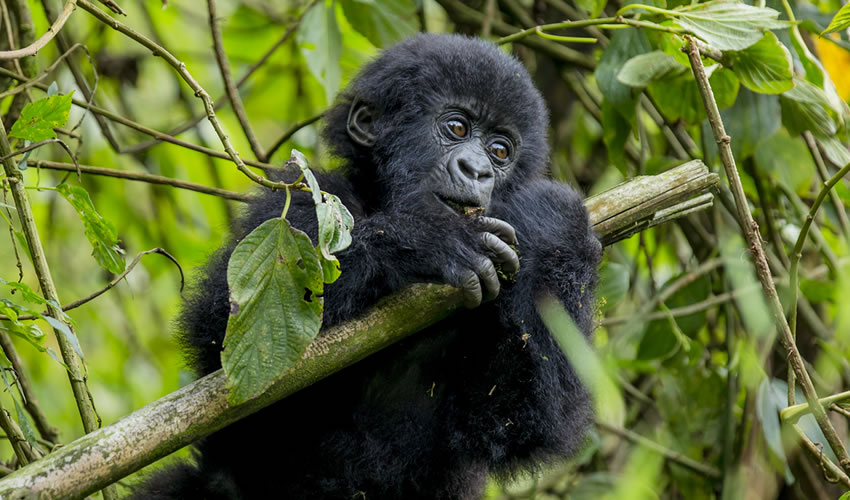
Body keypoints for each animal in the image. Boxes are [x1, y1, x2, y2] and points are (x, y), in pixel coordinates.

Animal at [131, 33, 596, 498]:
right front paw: (427, 240)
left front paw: (554, 225)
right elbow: (235, 342)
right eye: (457, 128)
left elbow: (514, 422)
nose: (478, 170)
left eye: (500, 151)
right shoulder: (300, 201)